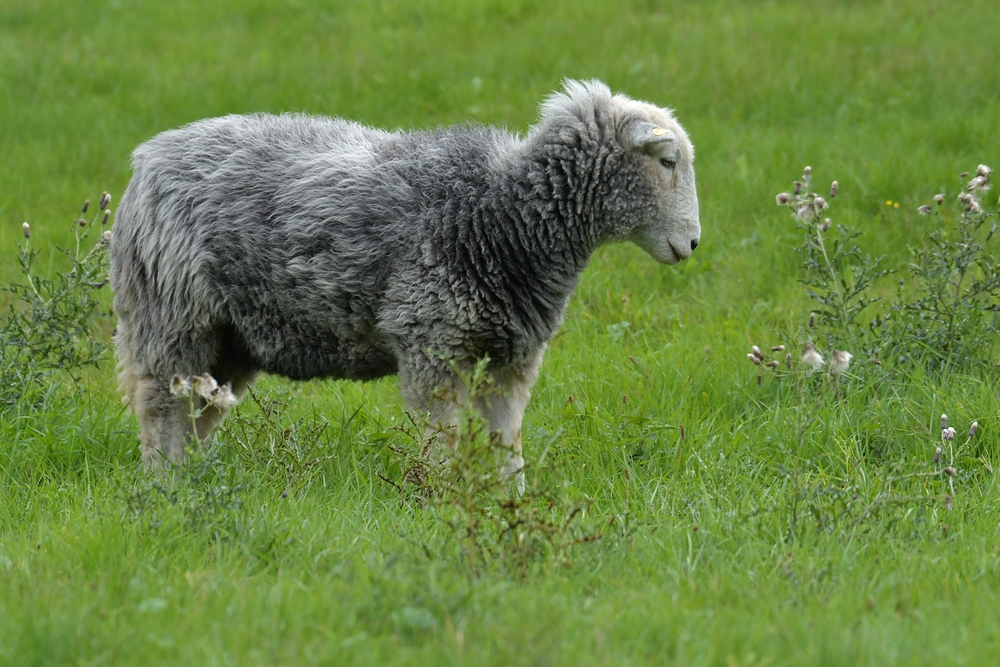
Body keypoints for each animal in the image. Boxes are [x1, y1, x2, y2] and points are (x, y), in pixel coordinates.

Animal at [109, 79, 700, 490]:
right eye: (668, 161)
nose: (693, 244)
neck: (499, 215)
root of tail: (146, 157)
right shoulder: (429, 343)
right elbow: (441, 439)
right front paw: (441, 497)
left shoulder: (510, 357)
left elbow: (505, 439)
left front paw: (511, 497)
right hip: (173, 314)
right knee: (160, 408)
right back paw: (163, 486)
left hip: (231, 338)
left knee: (196, 414)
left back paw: (189, 480)